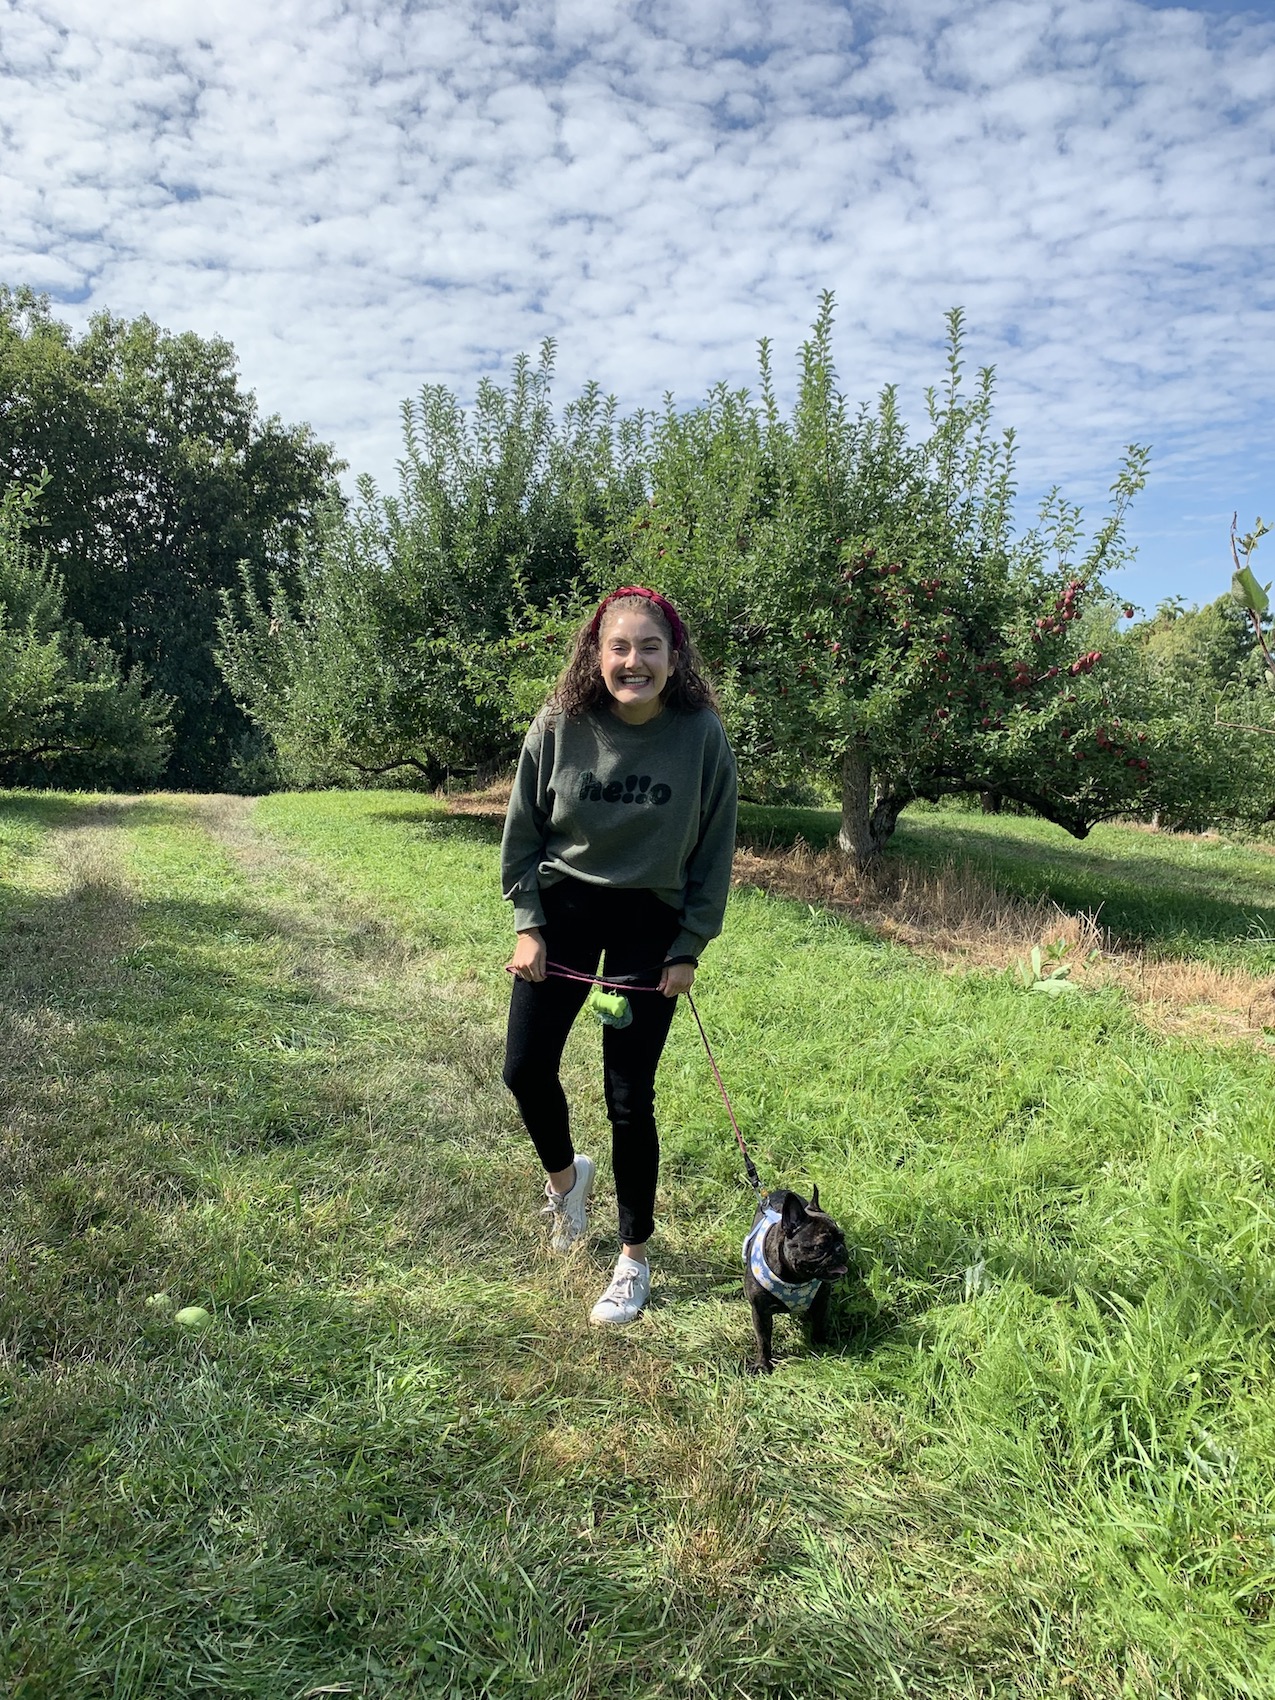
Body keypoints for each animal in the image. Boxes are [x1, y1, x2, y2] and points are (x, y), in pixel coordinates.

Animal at [744, 1190, 853, 1373]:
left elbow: (819, 1324)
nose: (840, 1248)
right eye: (821, 1246)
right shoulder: (760, 1311)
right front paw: (762, 1364)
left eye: (842, 1237)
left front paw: (821, 1345)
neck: (794, 1280)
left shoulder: (821, 1302)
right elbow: (763, 1340)